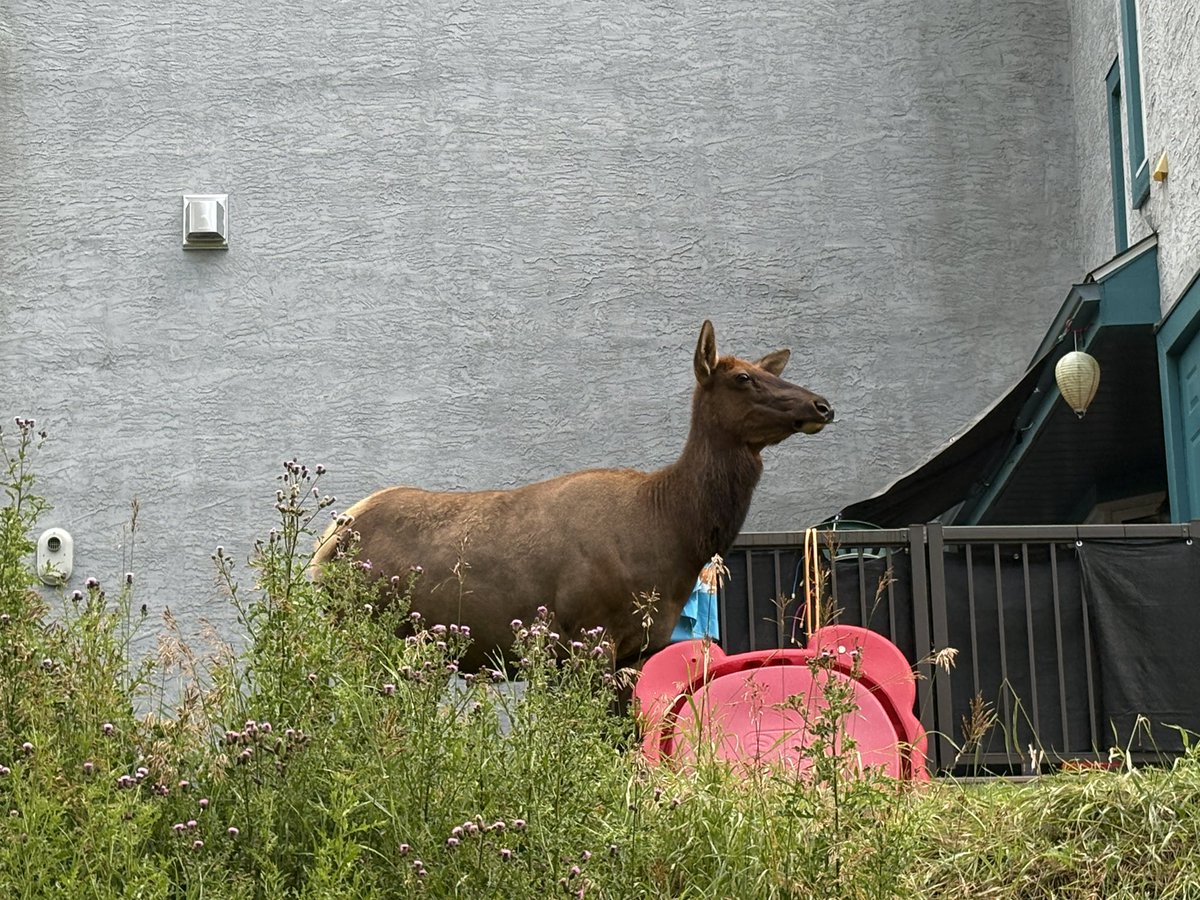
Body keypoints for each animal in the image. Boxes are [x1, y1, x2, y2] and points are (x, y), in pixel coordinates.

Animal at [311, 320, 834, 674]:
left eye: (763, 370)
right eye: (742, 378)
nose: (822, 404)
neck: (672, 536)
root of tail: (324, 545)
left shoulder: (644, 647)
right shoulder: (587, 633)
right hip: (360, 629)